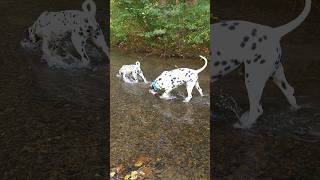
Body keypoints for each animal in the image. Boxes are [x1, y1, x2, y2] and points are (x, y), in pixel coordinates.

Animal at [211, 0, 312, 129]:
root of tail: (273, 31)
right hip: (276, 75)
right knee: (290, 92)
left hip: (253, 80)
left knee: (257, 110)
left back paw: (243, 125)